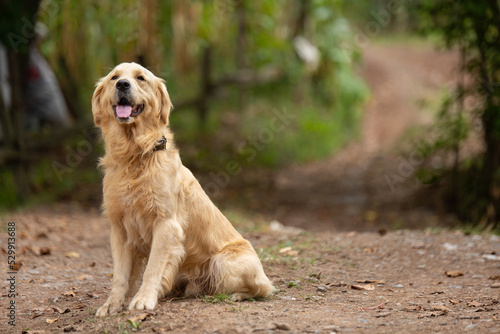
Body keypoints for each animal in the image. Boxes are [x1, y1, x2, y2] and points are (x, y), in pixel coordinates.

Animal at [92, 62, 276, 316]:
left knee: (261, 289)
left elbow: (153, 268)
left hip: (223, 263)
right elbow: (120, 275)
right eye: (114, 77)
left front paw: (143, 299)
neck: (135, 156)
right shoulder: (119, 229)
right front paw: (112, 304)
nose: (122, 85)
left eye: (140, 78)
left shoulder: (166, 224)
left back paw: (237, 295)